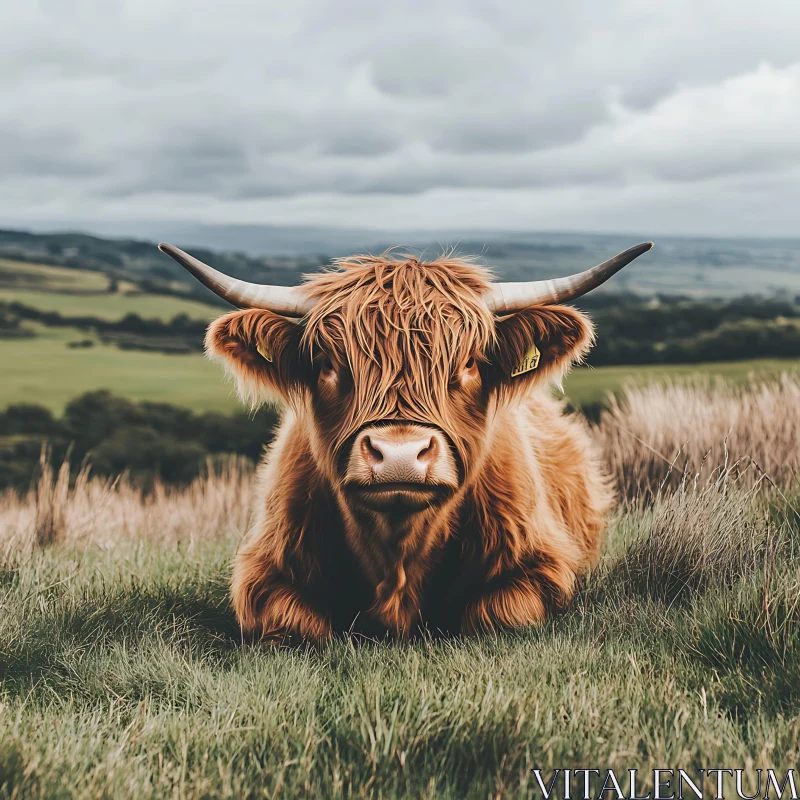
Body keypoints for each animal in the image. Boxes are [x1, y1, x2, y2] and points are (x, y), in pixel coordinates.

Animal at [159, 241, 652, 640]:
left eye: (469, 363)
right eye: (328, 365)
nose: (399, 455)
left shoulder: (541, 566)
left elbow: (497, 615)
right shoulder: (264, 574)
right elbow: (299, 625)